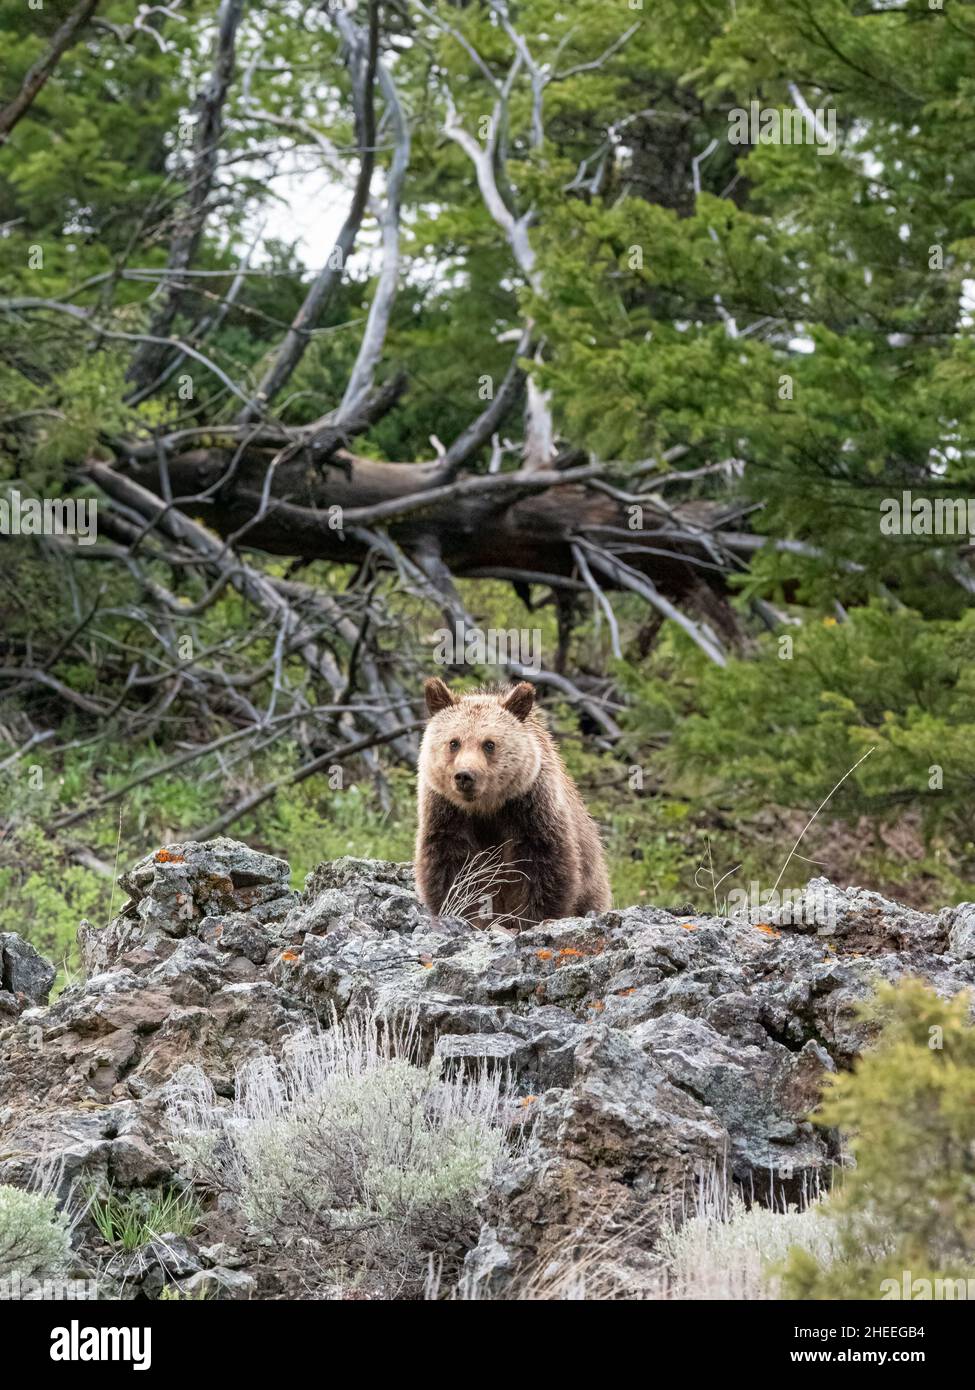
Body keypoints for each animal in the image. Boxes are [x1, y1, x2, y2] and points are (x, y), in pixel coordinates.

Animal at [414, 678, 611, 928]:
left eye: (489, 744)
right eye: (454, 742)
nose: (465, 776)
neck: (486, 808)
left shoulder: (530, 810)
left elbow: (543, 870)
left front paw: (529, 919)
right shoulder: (448, 813)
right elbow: (450, 869)